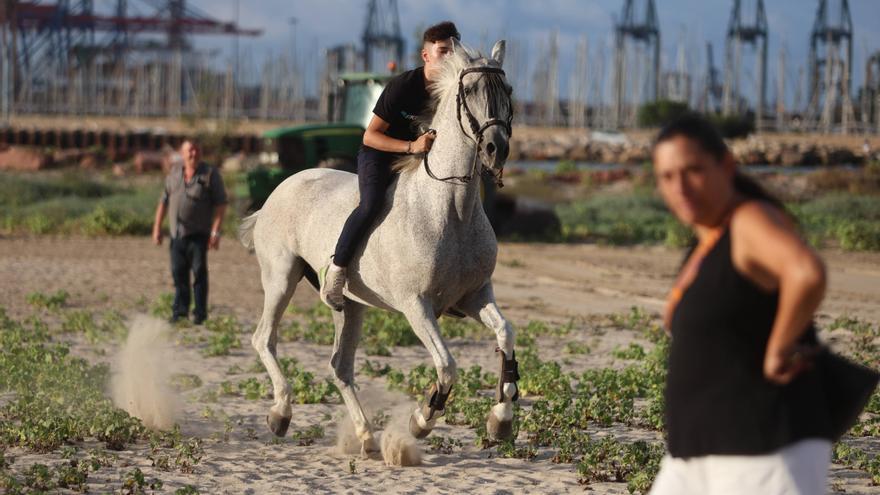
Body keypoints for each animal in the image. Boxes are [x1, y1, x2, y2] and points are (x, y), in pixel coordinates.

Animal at [237, 39, 520, 458]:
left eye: (508, 91)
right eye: (468, 91)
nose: (494, 148)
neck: (451, 210)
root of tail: (278, 189)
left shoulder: (475, 295)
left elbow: (506, 336)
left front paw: (500, 420)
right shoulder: (415, 305)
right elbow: (447, 365)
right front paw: (421, 420)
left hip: (350, 306)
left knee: (340, 366)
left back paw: (366, 437)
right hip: (280, 279)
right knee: (264, 339)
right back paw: (281, 414)